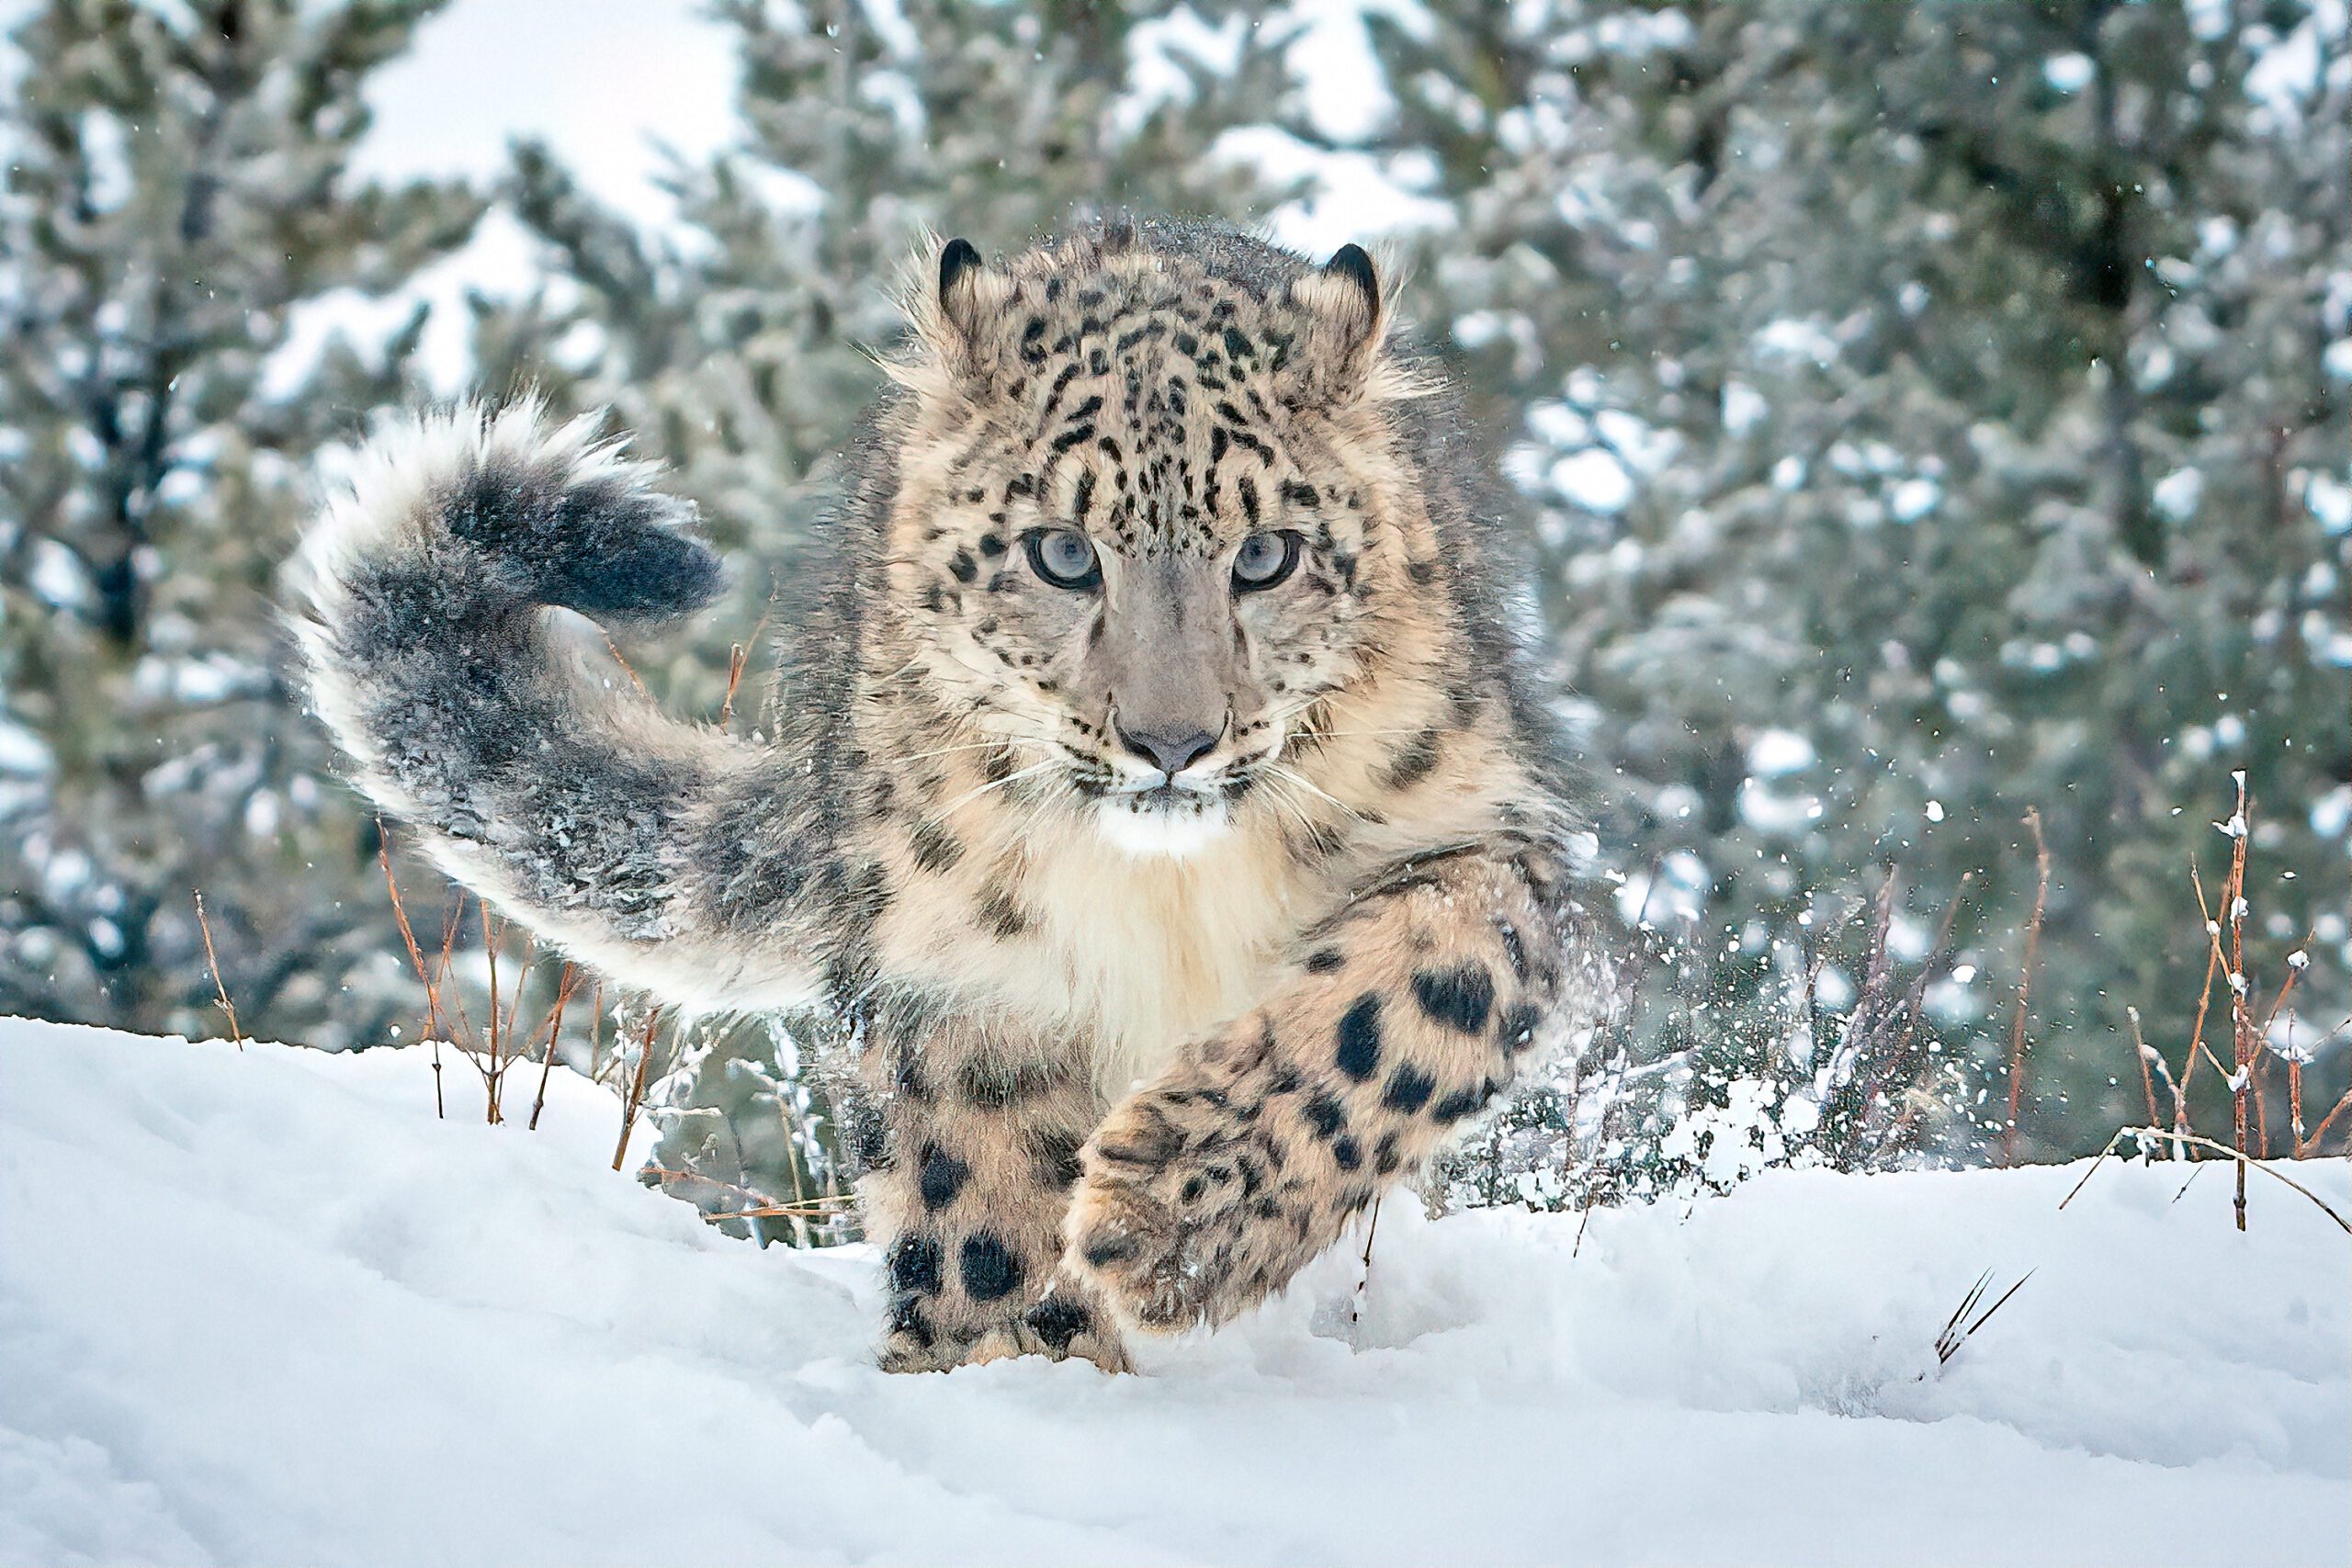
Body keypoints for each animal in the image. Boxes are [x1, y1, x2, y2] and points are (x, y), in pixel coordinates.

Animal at [294, 211, 1609, 1372]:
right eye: (1063, 554)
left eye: (1266, 556)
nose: (1171, 741)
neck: (1167, 893)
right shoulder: (956, 958)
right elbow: (975, 1184)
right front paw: (1019, 1365)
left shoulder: (1480, 834)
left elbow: (1401, 1008)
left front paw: (1168, 1224)